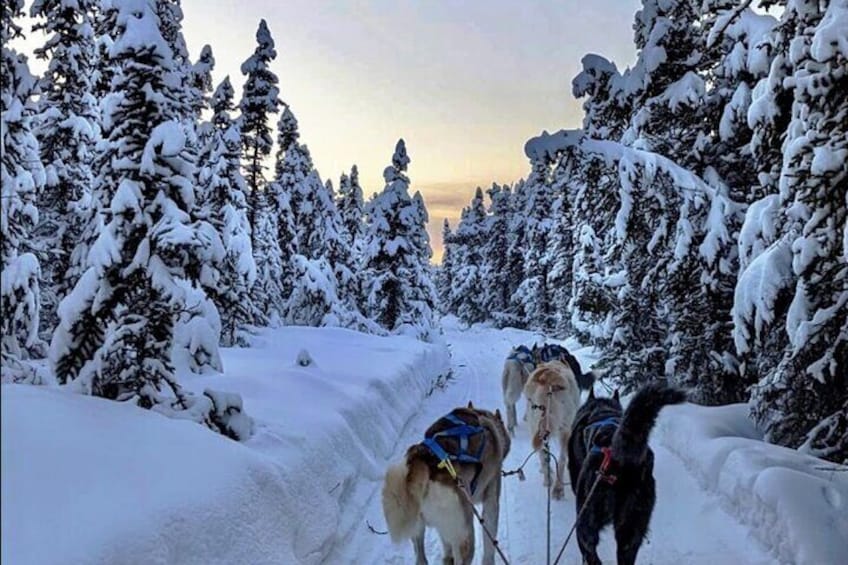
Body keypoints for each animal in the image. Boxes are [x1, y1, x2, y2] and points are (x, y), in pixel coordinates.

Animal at [382, 404, 510, 564]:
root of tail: (422, 459)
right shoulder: (491, 497)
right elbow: (489, 546)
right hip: (465, 540)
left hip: (419, 531)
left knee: (423, 558)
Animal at [524, 362, 584, 498]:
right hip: (565, 432)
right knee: (561, 459)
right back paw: (558, 487)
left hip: (536, 427)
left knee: (543, 454)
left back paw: (548, 480)